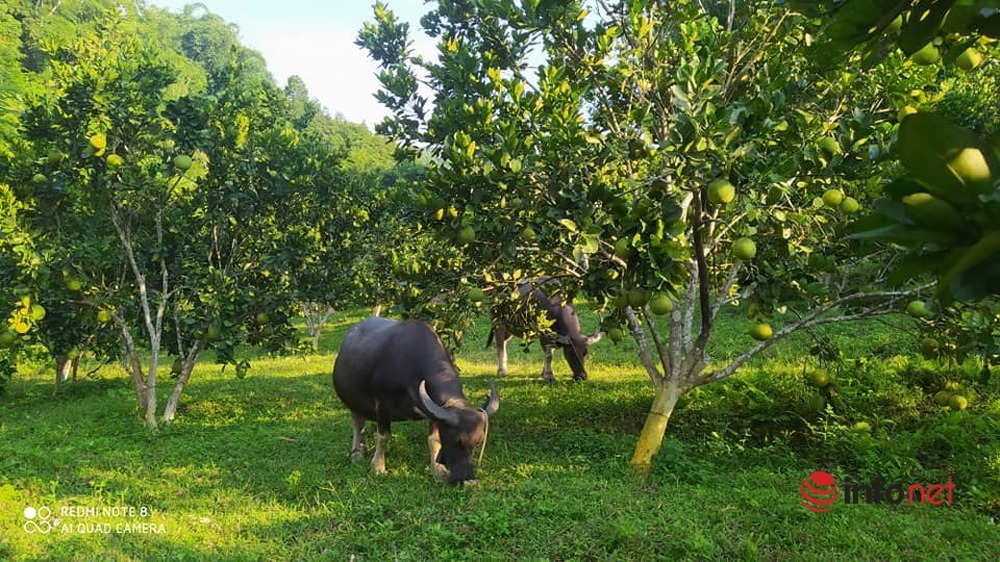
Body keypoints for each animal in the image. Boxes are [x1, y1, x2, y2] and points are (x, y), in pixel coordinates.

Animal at [332, 316, 500, 482]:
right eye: (457, 441)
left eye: (478, 442)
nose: (468, 479)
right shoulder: (382, 405)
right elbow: (383, 436)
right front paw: (378, 467)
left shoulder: (434, 411)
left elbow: (434, 439)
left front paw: (437, 470)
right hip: (352, 401)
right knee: (357, 423)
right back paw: (356, 452)